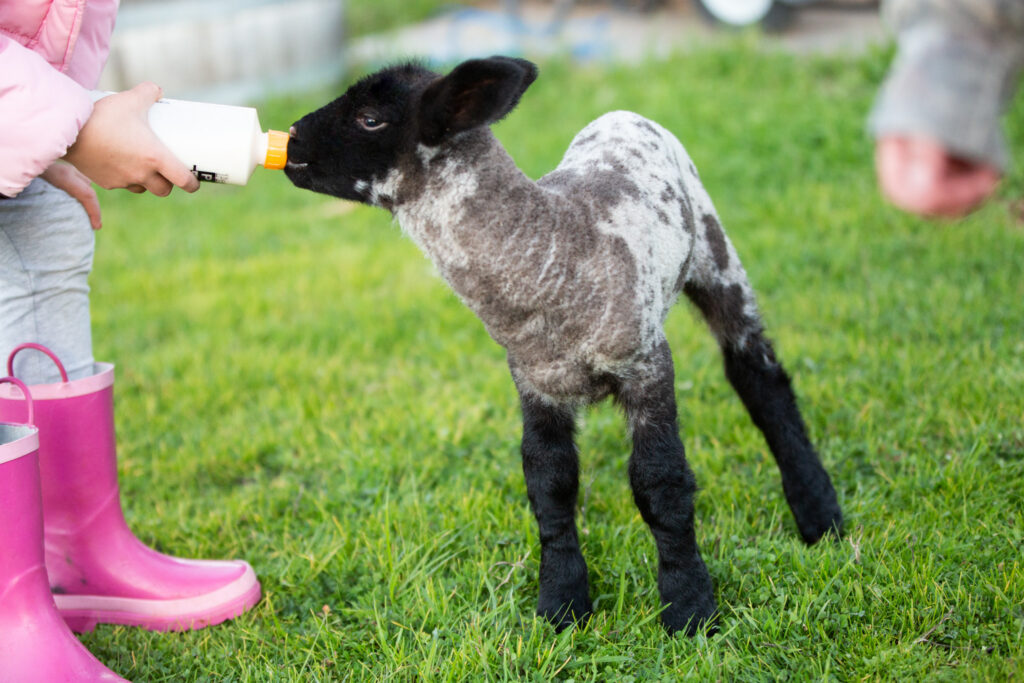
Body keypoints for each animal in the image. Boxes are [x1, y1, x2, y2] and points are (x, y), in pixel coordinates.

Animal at [284, 57, 843, 634]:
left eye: (370, 118)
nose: (292, 139)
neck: (550, 249)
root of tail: (620, 112)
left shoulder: (647, 363)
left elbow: (660, 483)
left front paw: (689, 607)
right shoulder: (536, 382)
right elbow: (549, 485)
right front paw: (561, 603)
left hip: (715, 250)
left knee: (758, 374)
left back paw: (818, 511)